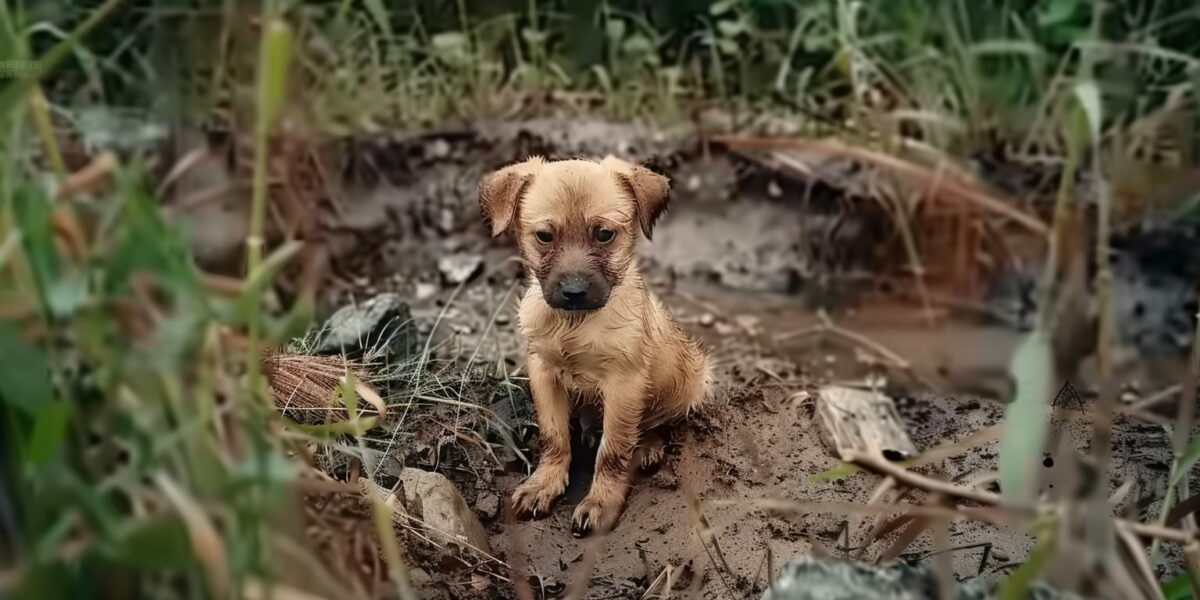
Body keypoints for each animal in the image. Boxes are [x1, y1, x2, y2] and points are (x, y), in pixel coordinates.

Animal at [477, 157, 710, 537]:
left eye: (604, 234)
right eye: (544, 236)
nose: (573, 291)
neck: (575, 323)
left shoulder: (624, 384)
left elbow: (613, 451)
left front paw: (600, 502)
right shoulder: (544, 372)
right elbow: (554, 437)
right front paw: (544, 483)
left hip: (692, 379)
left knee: (658, 421)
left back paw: (648, 447)